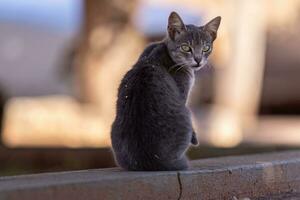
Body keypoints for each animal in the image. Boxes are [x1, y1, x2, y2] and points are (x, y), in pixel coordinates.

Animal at [110, 11, 220, 170]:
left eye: (206, 48)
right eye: (185, 47)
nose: (198, 60)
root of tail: (150, 159)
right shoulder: (183, 93)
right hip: (186, 114)